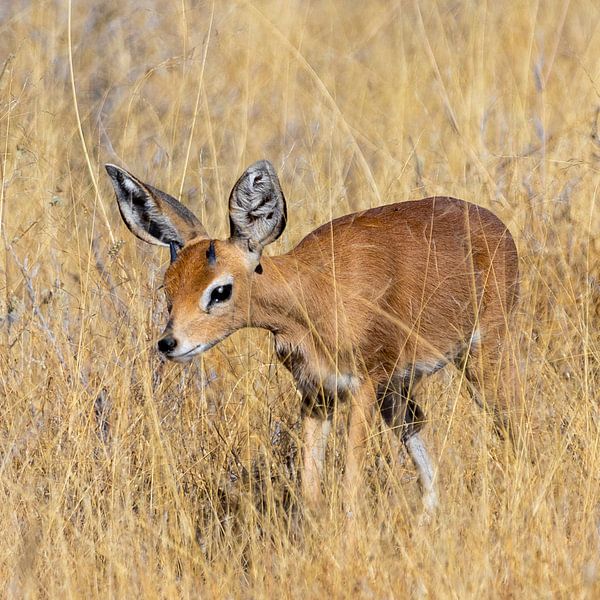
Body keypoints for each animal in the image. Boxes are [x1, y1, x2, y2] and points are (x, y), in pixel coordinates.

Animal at [105, 161, 516, 516]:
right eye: (167, 287)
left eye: (219, 290)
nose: (168, 343)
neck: (310, 296)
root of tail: (493, 223)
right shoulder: (316, 394)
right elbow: (311, 490)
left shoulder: (363, 386)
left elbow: (350, 487)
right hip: (397, 391)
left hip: (481, 359)